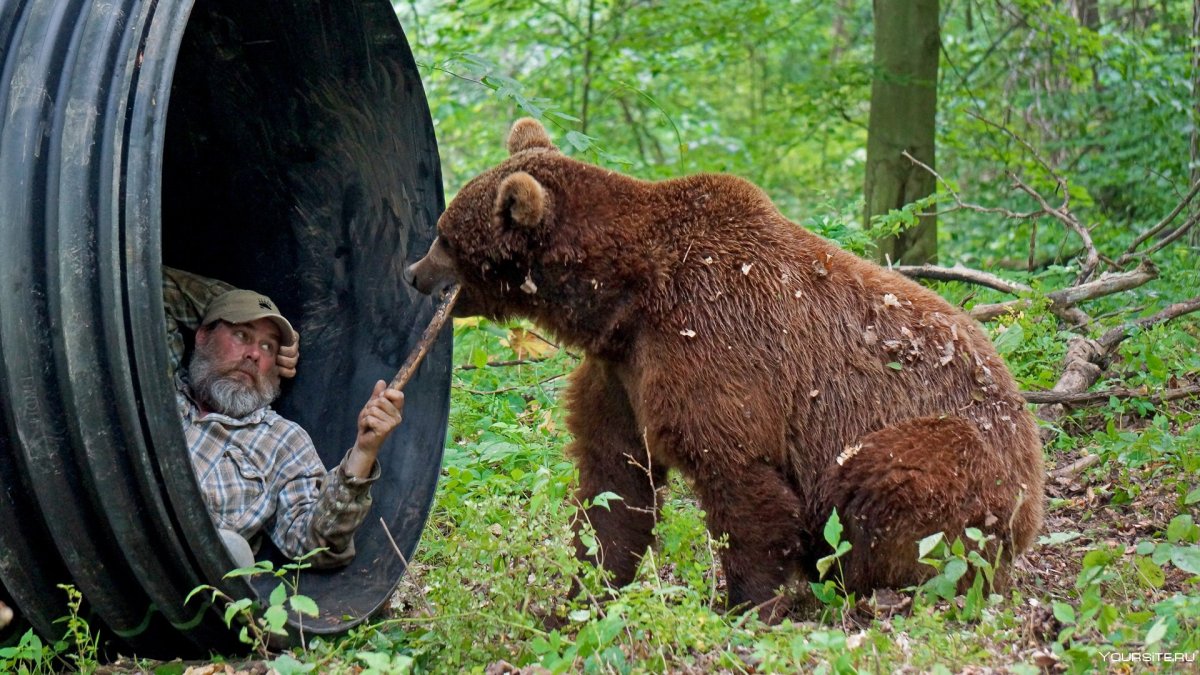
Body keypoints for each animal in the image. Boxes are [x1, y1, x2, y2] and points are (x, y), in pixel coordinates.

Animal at [405, 118, 1044, 619]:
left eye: (443, 236)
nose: (412, 273)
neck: (623, 299)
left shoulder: (714, 347)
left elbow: (740, 481)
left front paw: (744, 604)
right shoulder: (622, 375)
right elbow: (614, 485)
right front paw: (579, 598)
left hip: (957, 457)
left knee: (887, 482)